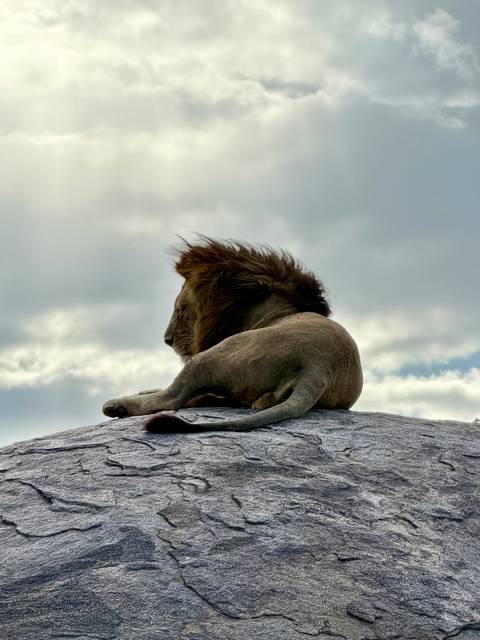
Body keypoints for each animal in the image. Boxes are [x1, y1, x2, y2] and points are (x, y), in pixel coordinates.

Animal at [102, 238, 363, 432]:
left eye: (180, 310)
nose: (167, 340)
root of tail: (318, 367)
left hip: (214, 354)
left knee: (172, 398)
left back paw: (117, 405)